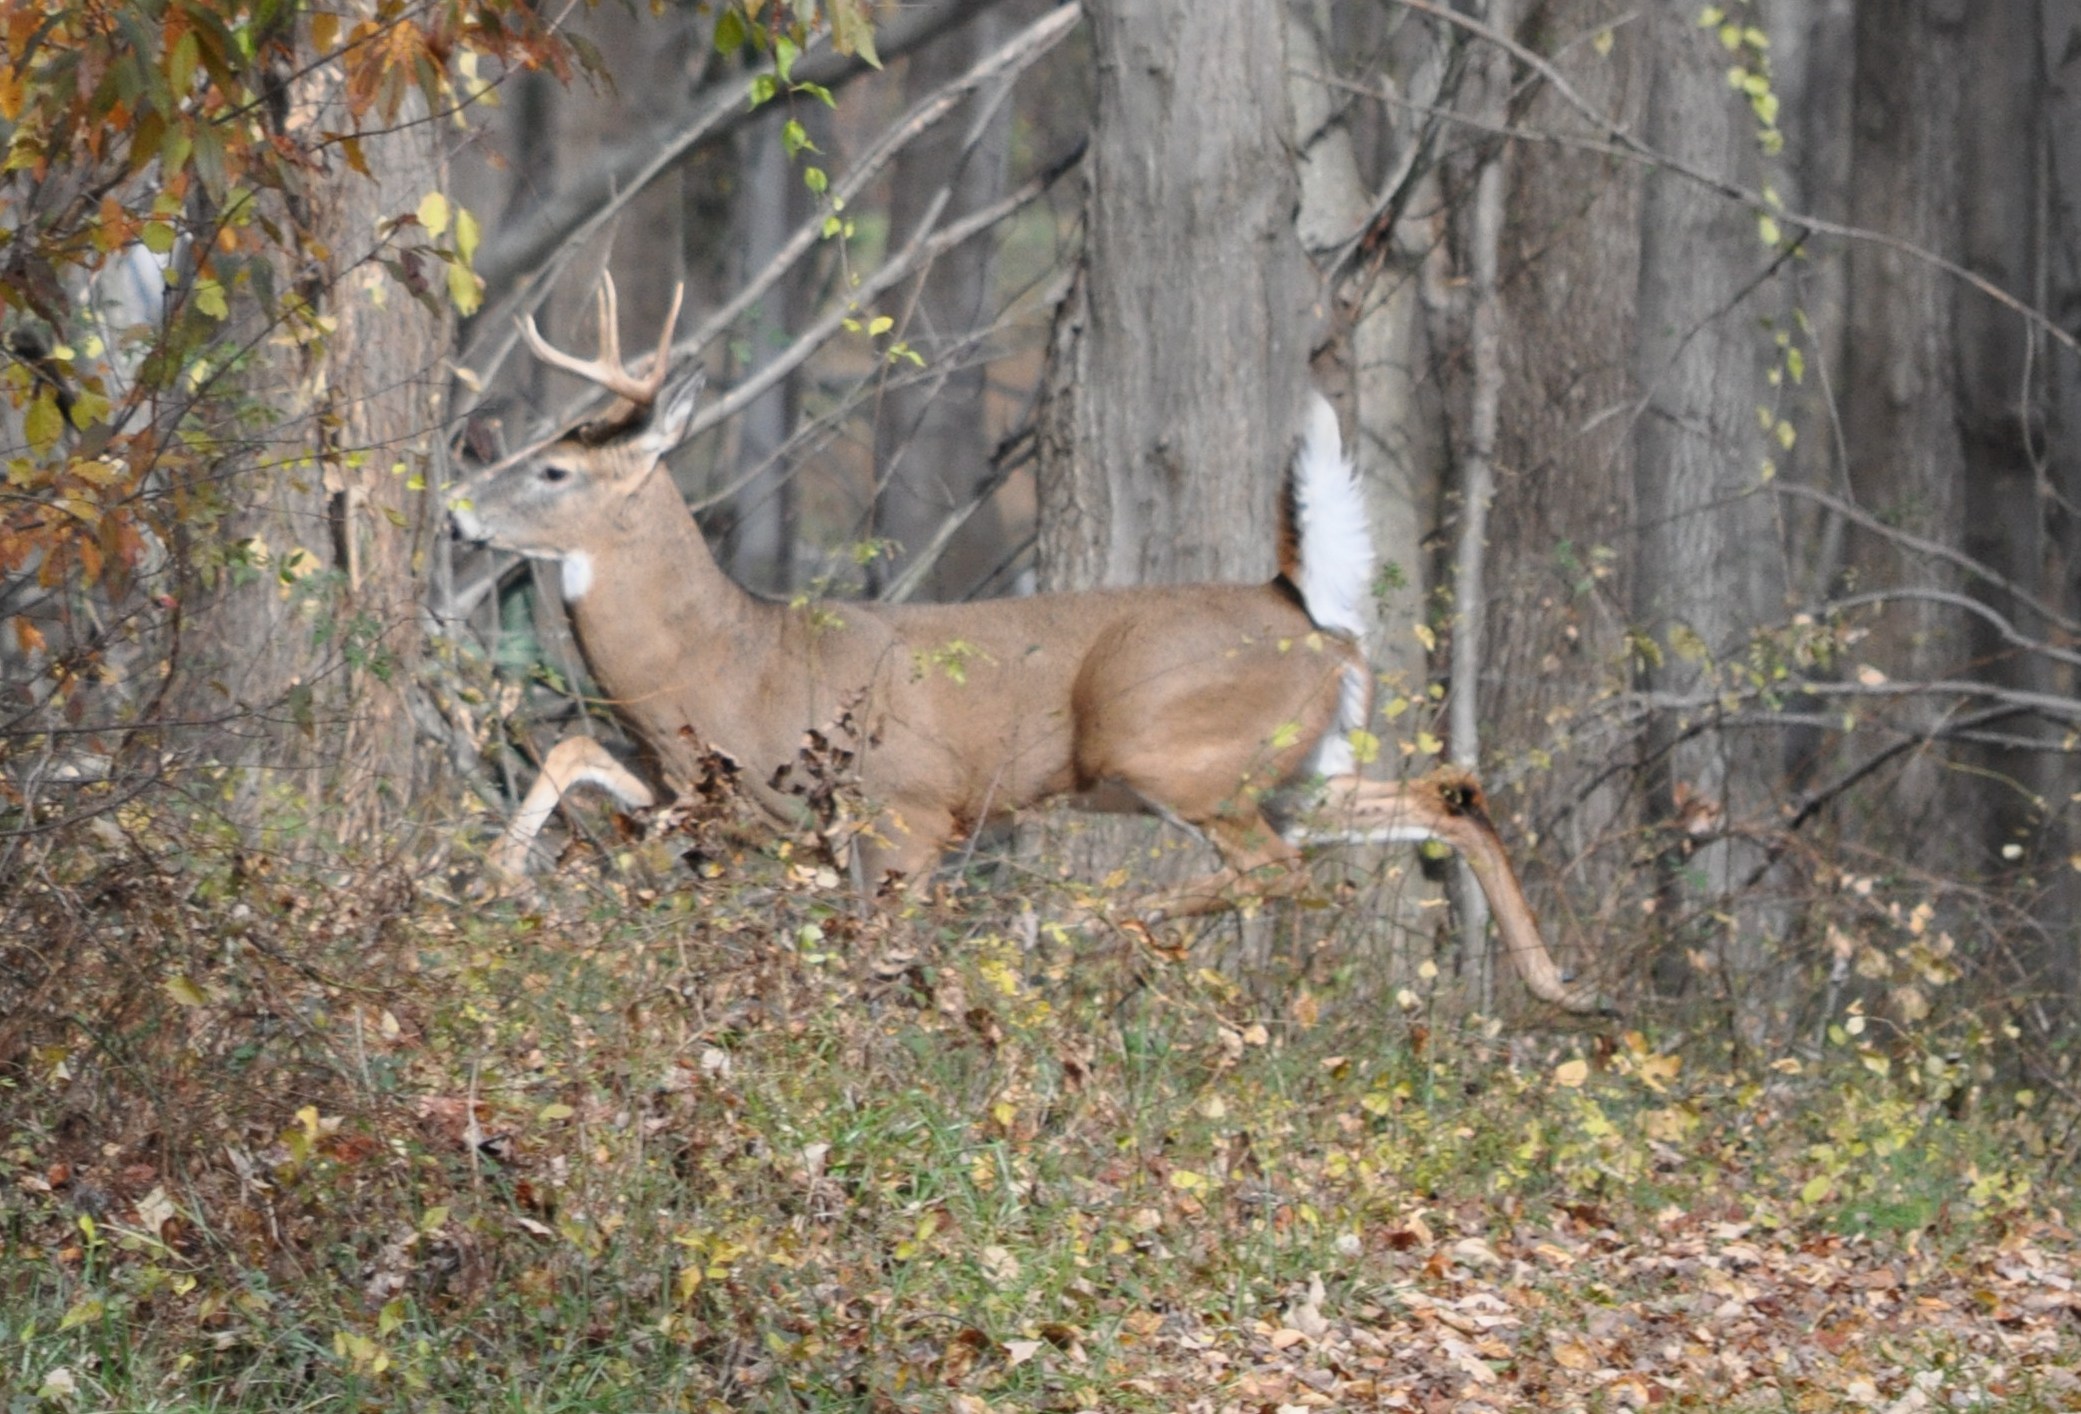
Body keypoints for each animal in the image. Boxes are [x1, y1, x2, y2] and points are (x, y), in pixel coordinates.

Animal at [448, 275, 1603, 1014]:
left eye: (553, 469)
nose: (456, 509)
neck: (730, 659)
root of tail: (1308, 612)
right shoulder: (713, 796)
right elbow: (572, 750)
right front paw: (498, 880)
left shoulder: (906, 809)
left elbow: (878, 951)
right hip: (1300, 768)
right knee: (1443, 798)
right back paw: (1562, 987)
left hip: (1166, 748)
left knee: (1279, 871)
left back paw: (1071, 927)